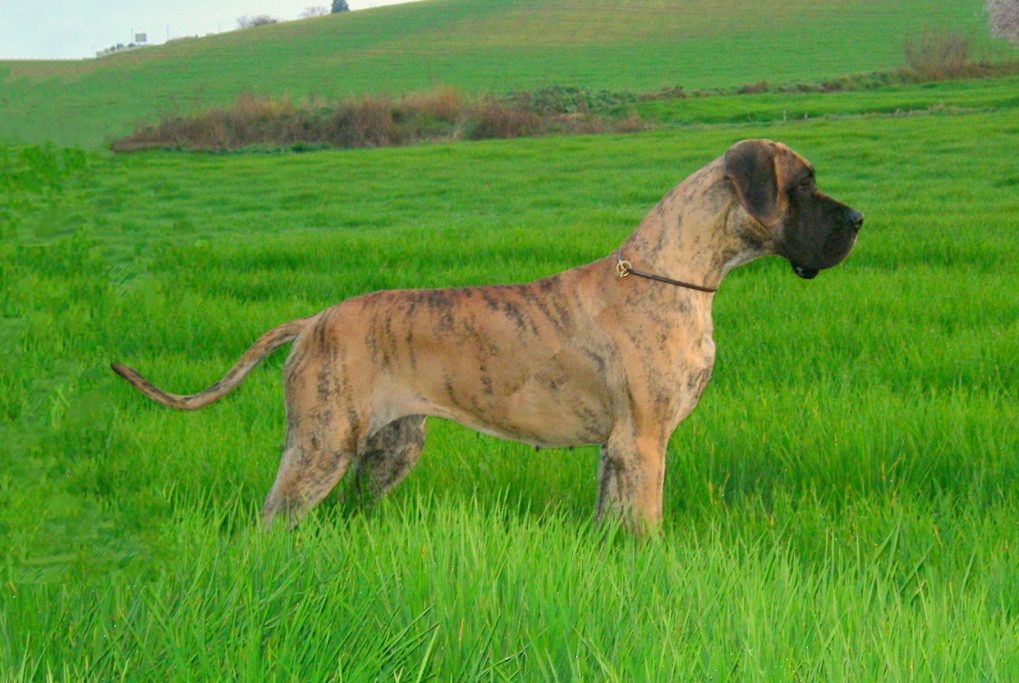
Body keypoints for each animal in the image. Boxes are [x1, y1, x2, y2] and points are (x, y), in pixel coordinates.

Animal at [113, 138, 860, 534]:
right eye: (802, 185)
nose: (858, 220)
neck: (675, 274)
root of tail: (313, 320)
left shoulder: (616, 450)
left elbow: (610, 524)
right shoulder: (646, 443)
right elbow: (646, 528)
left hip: (388, 448)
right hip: (320, 446)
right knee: (270, 520)